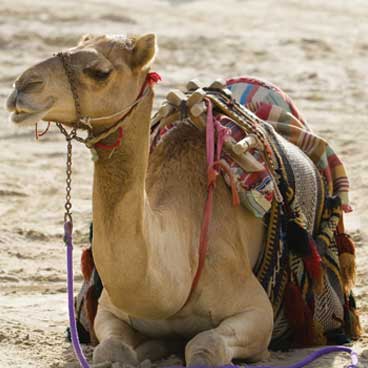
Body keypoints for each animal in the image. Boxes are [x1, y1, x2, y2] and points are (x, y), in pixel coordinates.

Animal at [5, 33, 350, 366]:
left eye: (100, 72)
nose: (21, 87)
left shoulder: (257, 312)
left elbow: (205, 346)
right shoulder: (108, 311)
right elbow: (111, 350)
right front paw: (149, 348)